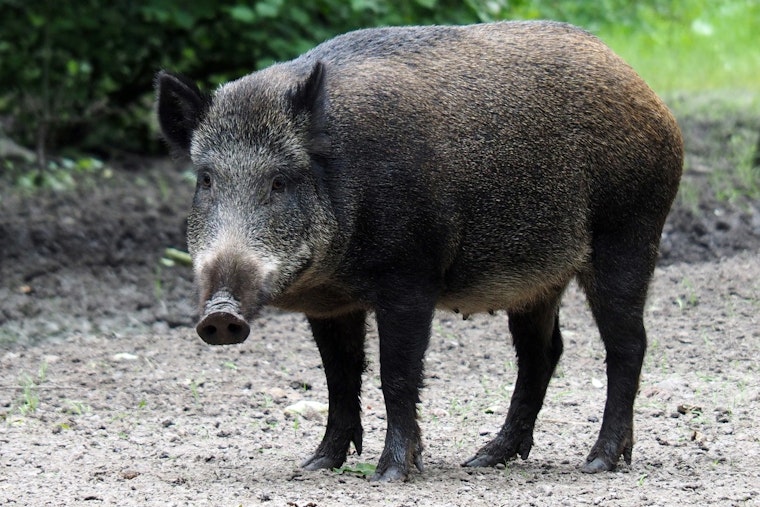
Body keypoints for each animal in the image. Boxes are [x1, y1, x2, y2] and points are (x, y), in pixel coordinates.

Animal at [156, 21, 683, 482]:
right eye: (206, 180)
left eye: (280, 181)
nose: (220, 315)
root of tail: (650, 97)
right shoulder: (329, 304)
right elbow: (339, 376)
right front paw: (316, 465)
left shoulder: (411, 276)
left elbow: (398, 373)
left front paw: (391, 474)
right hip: (538, 280)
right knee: (543, 352)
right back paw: (485, 458)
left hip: (629, 234)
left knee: (628, 344)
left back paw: (598, 462)